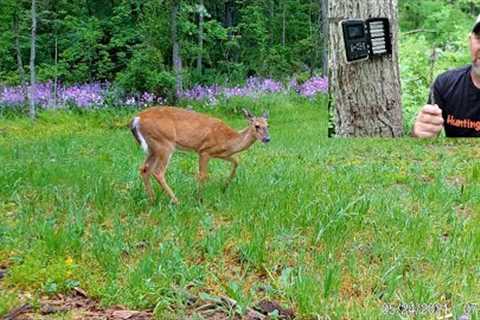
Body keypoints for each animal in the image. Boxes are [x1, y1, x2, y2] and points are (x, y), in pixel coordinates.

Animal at [129, 106, 270, 204]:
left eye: (268, 125)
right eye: (256, 126)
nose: (267, 139)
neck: (229, 139)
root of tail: (136, 119)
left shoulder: (220, 153)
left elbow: (236, 161)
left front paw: (224, 187)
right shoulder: (204, 151)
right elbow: (202, 175)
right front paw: (199, 198)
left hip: (153, 148)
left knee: (144, 169)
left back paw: (152, 200)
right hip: (164, 144)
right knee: (158, 171)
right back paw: (176, 201)